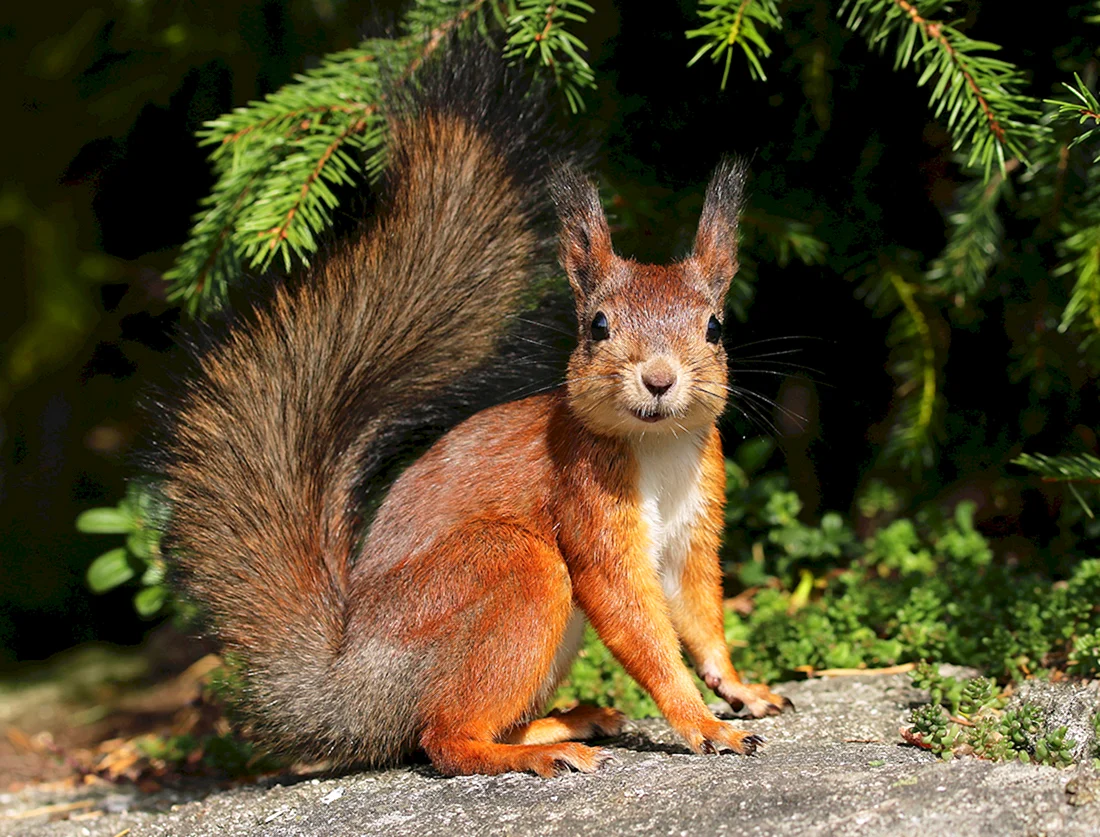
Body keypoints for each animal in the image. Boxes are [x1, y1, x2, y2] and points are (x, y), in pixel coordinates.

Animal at [159, 45, 791, 779]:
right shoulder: (586, 502)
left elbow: (700, 614)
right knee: (443, 736)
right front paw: (703, 723)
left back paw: (564, 721)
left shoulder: (695, 524)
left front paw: (741, 689)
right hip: (511, 569)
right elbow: (635, 620)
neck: (655, 447)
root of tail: (350, 689)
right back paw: (541, 751)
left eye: (715, 327)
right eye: (597, 326)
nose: (659, 379)